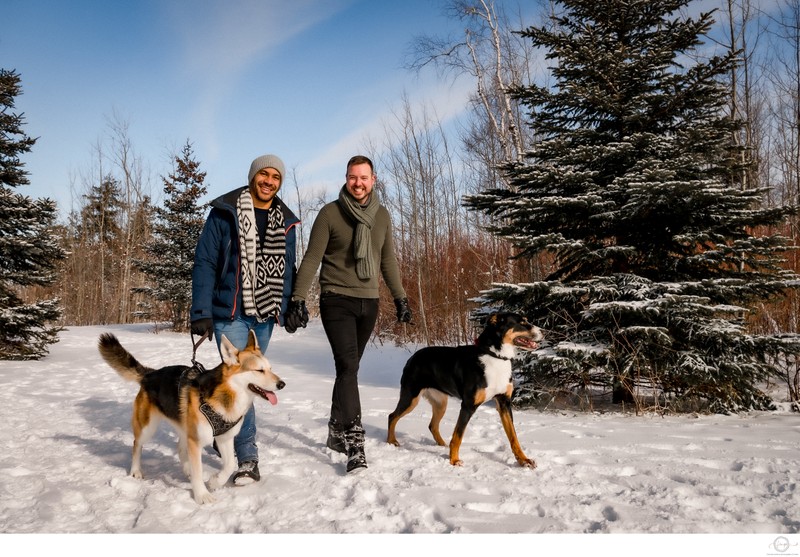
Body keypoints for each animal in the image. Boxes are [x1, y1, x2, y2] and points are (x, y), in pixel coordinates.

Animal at [98, 330, 284, 504]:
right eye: (259, 370)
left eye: (270, 369)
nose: (282, 384)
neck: (226, 394)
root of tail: (150, 374)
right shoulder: (196, 441)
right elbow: (199, 471)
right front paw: (201, 495)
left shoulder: (224, 438)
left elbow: (230, 464)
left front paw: (215, 481)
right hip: (148, 428)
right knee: (137, 444)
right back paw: (136, 470)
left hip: (183, 427)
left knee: (180, 447)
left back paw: (187, 469)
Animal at [388, 314, 544, 466]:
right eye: (522, 322)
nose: (544, 332)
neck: (495, 357)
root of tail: (413, 357)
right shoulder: (468, 406)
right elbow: (458, 436)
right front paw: (454, 460)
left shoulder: (504, 403)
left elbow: (513, 437)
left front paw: (524, 460)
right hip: (410, 398)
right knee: (392, 416)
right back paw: (391, 442)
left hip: (440, 403)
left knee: (432, 425)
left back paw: (442, 445)